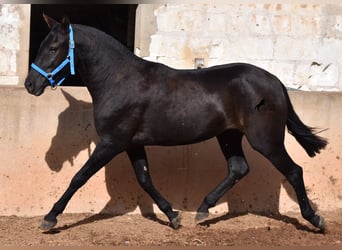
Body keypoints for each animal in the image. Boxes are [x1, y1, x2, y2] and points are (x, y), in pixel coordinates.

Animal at [24, 14, 328, 231]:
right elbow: (144, 179)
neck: (118, 80)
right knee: (238, 168)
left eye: (53, 47)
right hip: (229, 136)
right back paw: (203, 211)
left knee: (294, 171)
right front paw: (173, 216)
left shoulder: (112, 142)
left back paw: (315, 220)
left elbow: (80, 176)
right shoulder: (132, 144)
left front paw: (50, 218)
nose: (30, 84)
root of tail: (275, 81)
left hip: (265, 140)